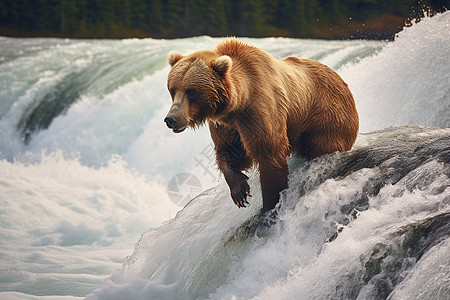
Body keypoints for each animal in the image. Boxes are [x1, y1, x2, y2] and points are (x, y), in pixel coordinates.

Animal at [164, 38, 358, 212]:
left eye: (191, 91)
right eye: (172, 89)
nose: (171, 119)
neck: (237, 103)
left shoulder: (259, 109)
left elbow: (269, 154)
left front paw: (270, 204)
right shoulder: (225, 125)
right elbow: (231, 152)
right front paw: (240, 190)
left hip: (327, 116)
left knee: (323, 144)